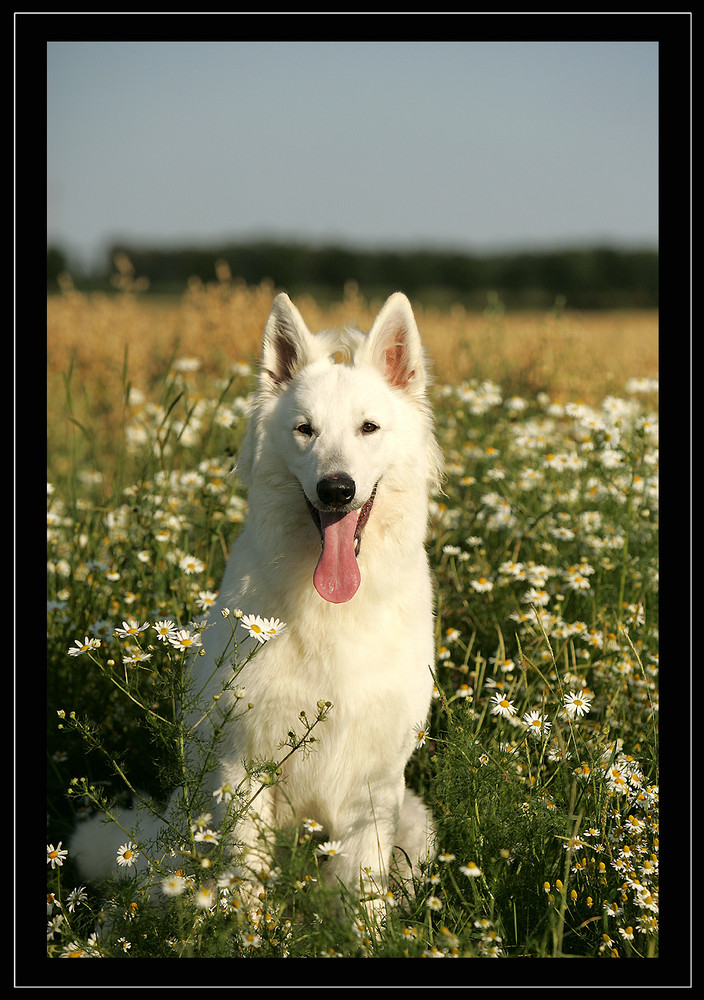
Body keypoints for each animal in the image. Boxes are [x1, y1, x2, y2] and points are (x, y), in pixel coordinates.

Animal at [70, 292, 440, 912]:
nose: (336, 489)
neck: (331, 610)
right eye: (304, 430)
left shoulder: (377, 779)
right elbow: (244, 881)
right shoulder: (239, 764)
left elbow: (360, 890)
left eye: (368, 428)